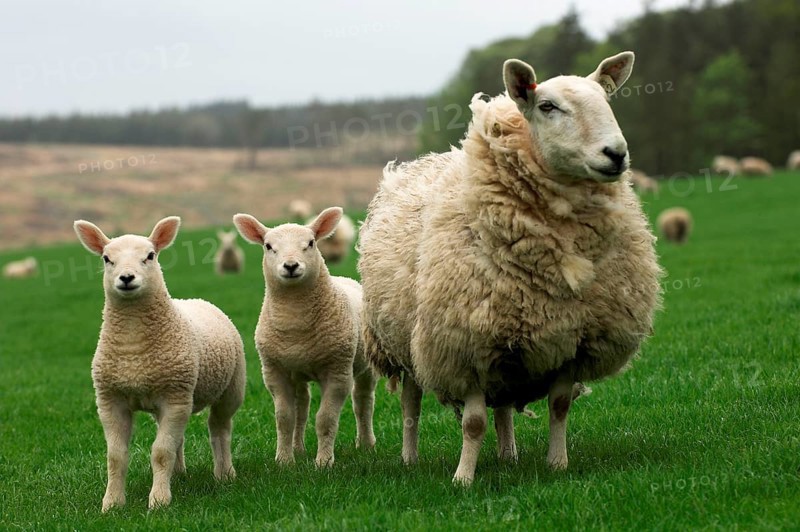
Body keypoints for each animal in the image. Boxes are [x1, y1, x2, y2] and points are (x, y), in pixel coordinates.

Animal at [73, 217, 246, 511]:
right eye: (107, 258)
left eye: (150, 256)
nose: (126, 278)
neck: (133, 347)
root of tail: (196, 300)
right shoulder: (110, 400)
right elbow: (116, 456)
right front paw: (112, 503)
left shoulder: (174, 396)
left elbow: (161, 452)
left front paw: (159, 501)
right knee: (179, 437)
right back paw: (179, 474)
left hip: (230, 389)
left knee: (220, 428)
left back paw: (224, 474)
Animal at [233, 207, 377, 468]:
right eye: (268, 246)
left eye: (310, 243)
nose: (290, 266)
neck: (295, 325)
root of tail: (346, 279)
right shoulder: (275, 372)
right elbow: (284, 418)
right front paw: (284, 460)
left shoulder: (337, 371)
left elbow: (326, 419)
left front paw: (324, 462)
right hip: (297, 371)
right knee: (302, 406)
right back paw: (298, 449)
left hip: (365, 364)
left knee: (363, 401)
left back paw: (366, 444)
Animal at [358, 51, 662, 485]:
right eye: (548, 106)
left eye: (607, 100)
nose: (616, 154)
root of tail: (412, 165)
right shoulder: (465, 345)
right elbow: (472, 424)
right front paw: (463, 479)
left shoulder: (571, 342)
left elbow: (559, 407)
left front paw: (557, 464)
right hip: (405, 344)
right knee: (410, 405)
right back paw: (409, 458)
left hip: (503, 345)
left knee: (500, 404)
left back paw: (508, 455)